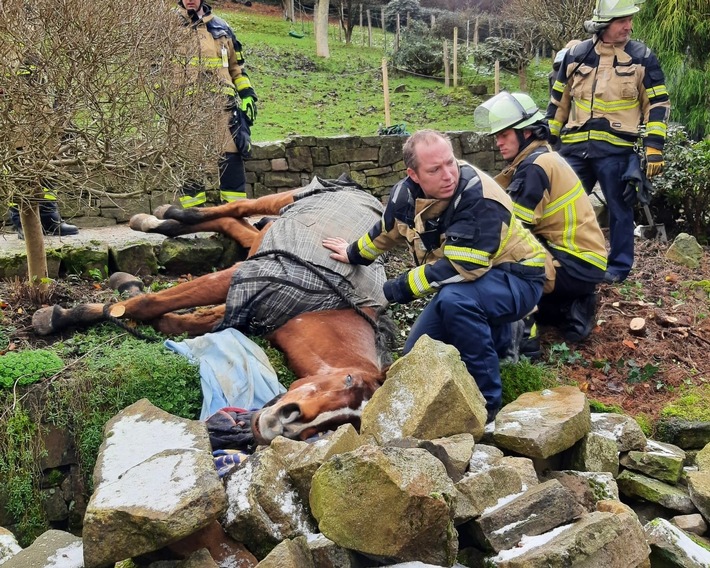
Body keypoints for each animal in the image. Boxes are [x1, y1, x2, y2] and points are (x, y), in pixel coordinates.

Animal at [32, 180, 394, 446]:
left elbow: (175, 319)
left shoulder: (242, 304)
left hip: (260, 238)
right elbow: (151, 303)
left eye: (336, 426)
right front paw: (59, 316)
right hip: (286, 198)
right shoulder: (242, 276)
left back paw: (155, 223)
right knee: (234, 208)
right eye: (347, 379)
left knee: (237, 225)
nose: (281, 424)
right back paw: (161, 215)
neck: (330, 305)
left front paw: (129, 293)